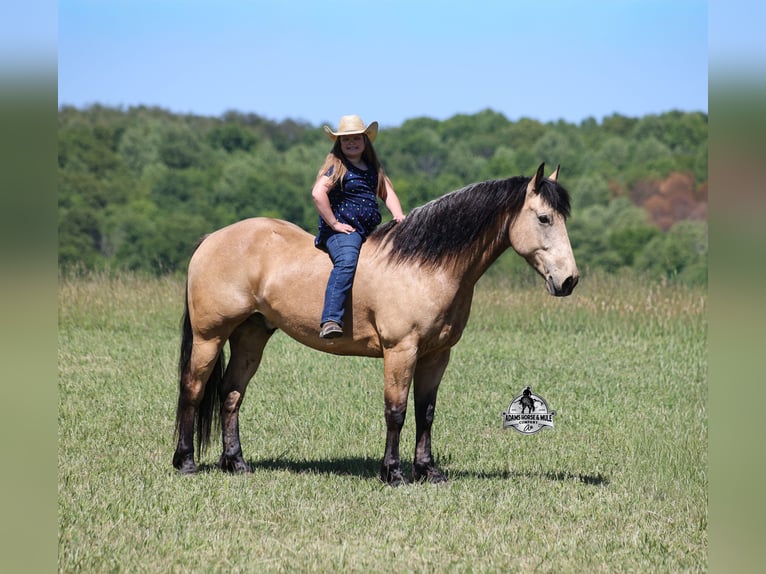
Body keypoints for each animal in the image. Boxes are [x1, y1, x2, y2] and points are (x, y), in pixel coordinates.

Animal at [173, 162, 578, 485]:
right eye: (544, 218)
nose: (569, 280)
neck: (425, 266)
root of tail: (211, 240)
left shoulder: (436, 355)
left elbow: (426, 413)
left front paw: (428, 471)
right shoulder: (401, 351)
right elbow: (396, 412)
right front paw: (393, 473)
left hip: (251, 336)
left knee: (231, 394)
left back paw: (236, 463)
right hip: (210, 336)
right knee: (193, 389)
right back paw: (186, 462)